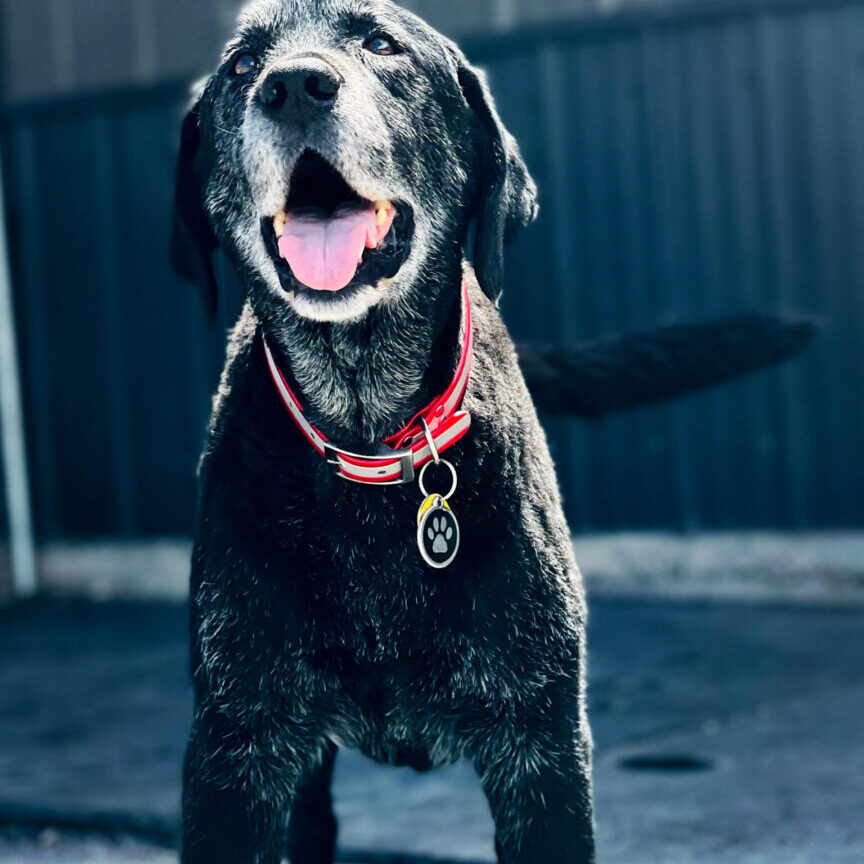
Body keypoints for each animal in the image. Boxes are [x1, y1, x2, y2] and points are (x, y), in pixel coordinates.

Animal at [173, 1, 596, 864]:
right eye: (241, 65)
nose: (294, 85)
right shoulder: (239, 746)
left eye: (381, 42)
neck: (367, 428)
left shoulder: (541, 745)